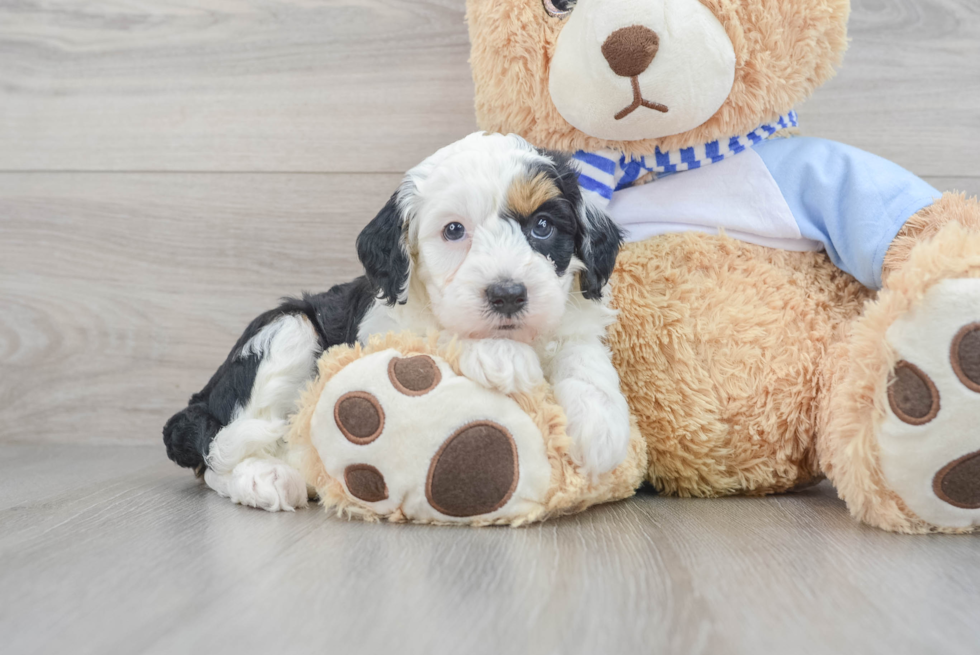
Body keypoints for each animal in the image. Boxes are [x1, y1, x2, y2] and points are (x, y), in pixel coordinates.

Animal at [163, 132, 628, 512]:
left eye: (543, 226)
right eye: (453, 230)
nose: (508, 295)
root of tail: (202, 399)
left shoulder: (572, 317)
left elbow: (583, 355)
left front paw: (601, 426)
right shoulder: (384, 330)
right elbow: (436, 333)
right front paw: (502, 355)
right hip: (287, 330)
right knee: (219, 450)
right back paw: (264, 477)